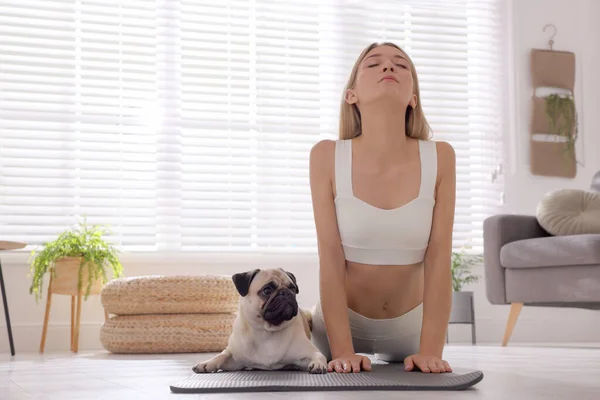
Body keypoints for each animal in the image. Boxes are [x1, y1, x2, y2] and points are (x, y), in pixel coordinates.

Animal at [192, 268, 326, 376]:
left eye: (293, 288)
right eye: (267, 290)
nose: (286, 293)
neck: (267, 331)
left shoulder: (309, 352)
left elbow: (319, 355)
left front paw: (318, 364)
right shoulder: (234, 357)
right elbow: (222, 355)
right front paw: (207, 364)